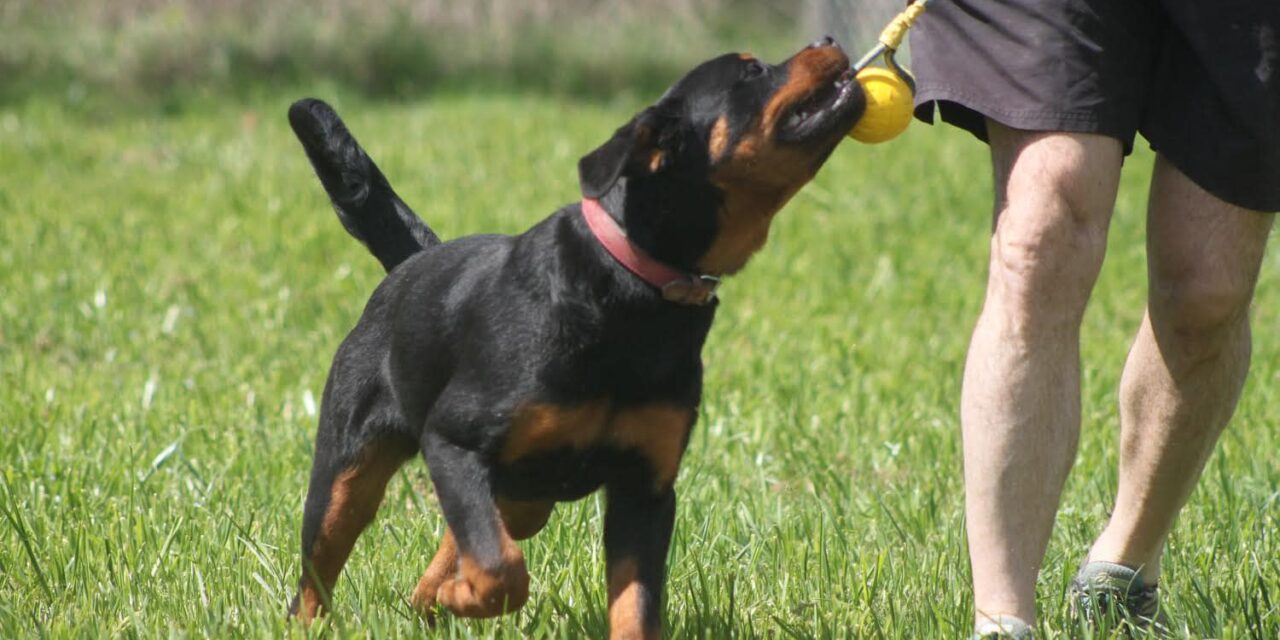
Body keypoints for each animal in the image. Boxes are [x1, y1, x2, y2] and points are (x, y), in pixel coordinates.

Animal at [285, 37, 865, 637]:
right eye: (751, 71)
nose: (827, 42)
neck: (633, 289)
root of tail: (412, 263)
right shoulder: (452, 438)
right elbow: (500, 569)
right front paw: (465, 597)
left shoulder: (645, 487)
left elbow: (634, 605)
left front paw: (454, 596)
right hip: (350, 466)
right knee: (318, 570)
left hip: (522, 496)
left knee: (463, 536)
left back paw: (429, 599)